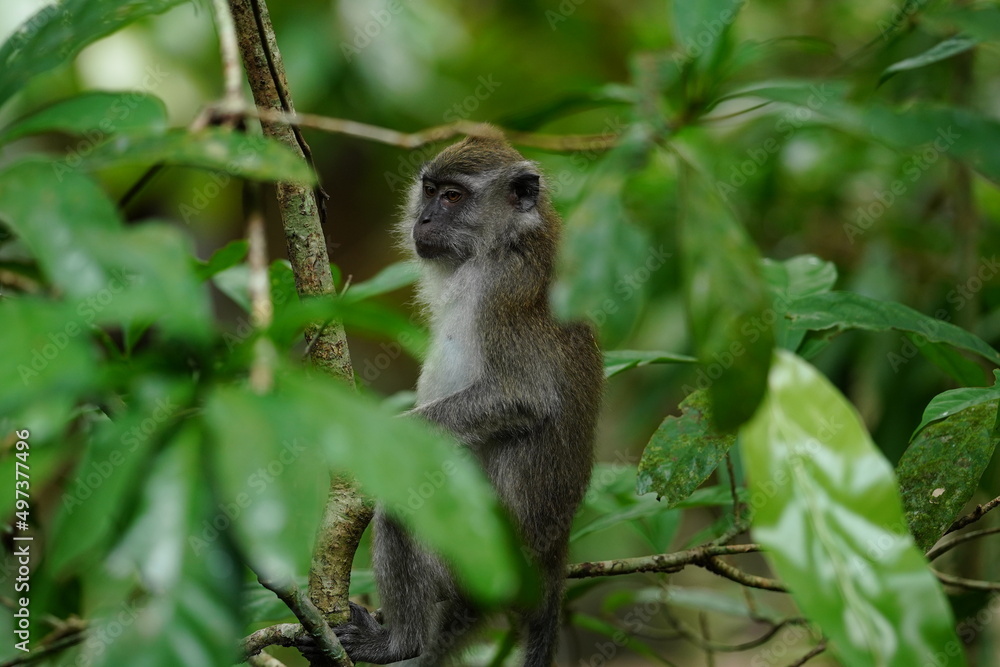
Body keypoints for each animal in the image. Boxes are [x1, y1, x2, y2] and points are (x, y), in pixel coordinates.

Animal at [329, 128, 603, 666]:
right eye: (430, 190)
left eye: (454, 197)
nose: (424, 219)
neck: (501, 244)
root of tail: (549, 563)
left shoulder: (506, 293)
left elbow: (522, 396)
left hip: (481, 555)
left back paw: (399, 642)